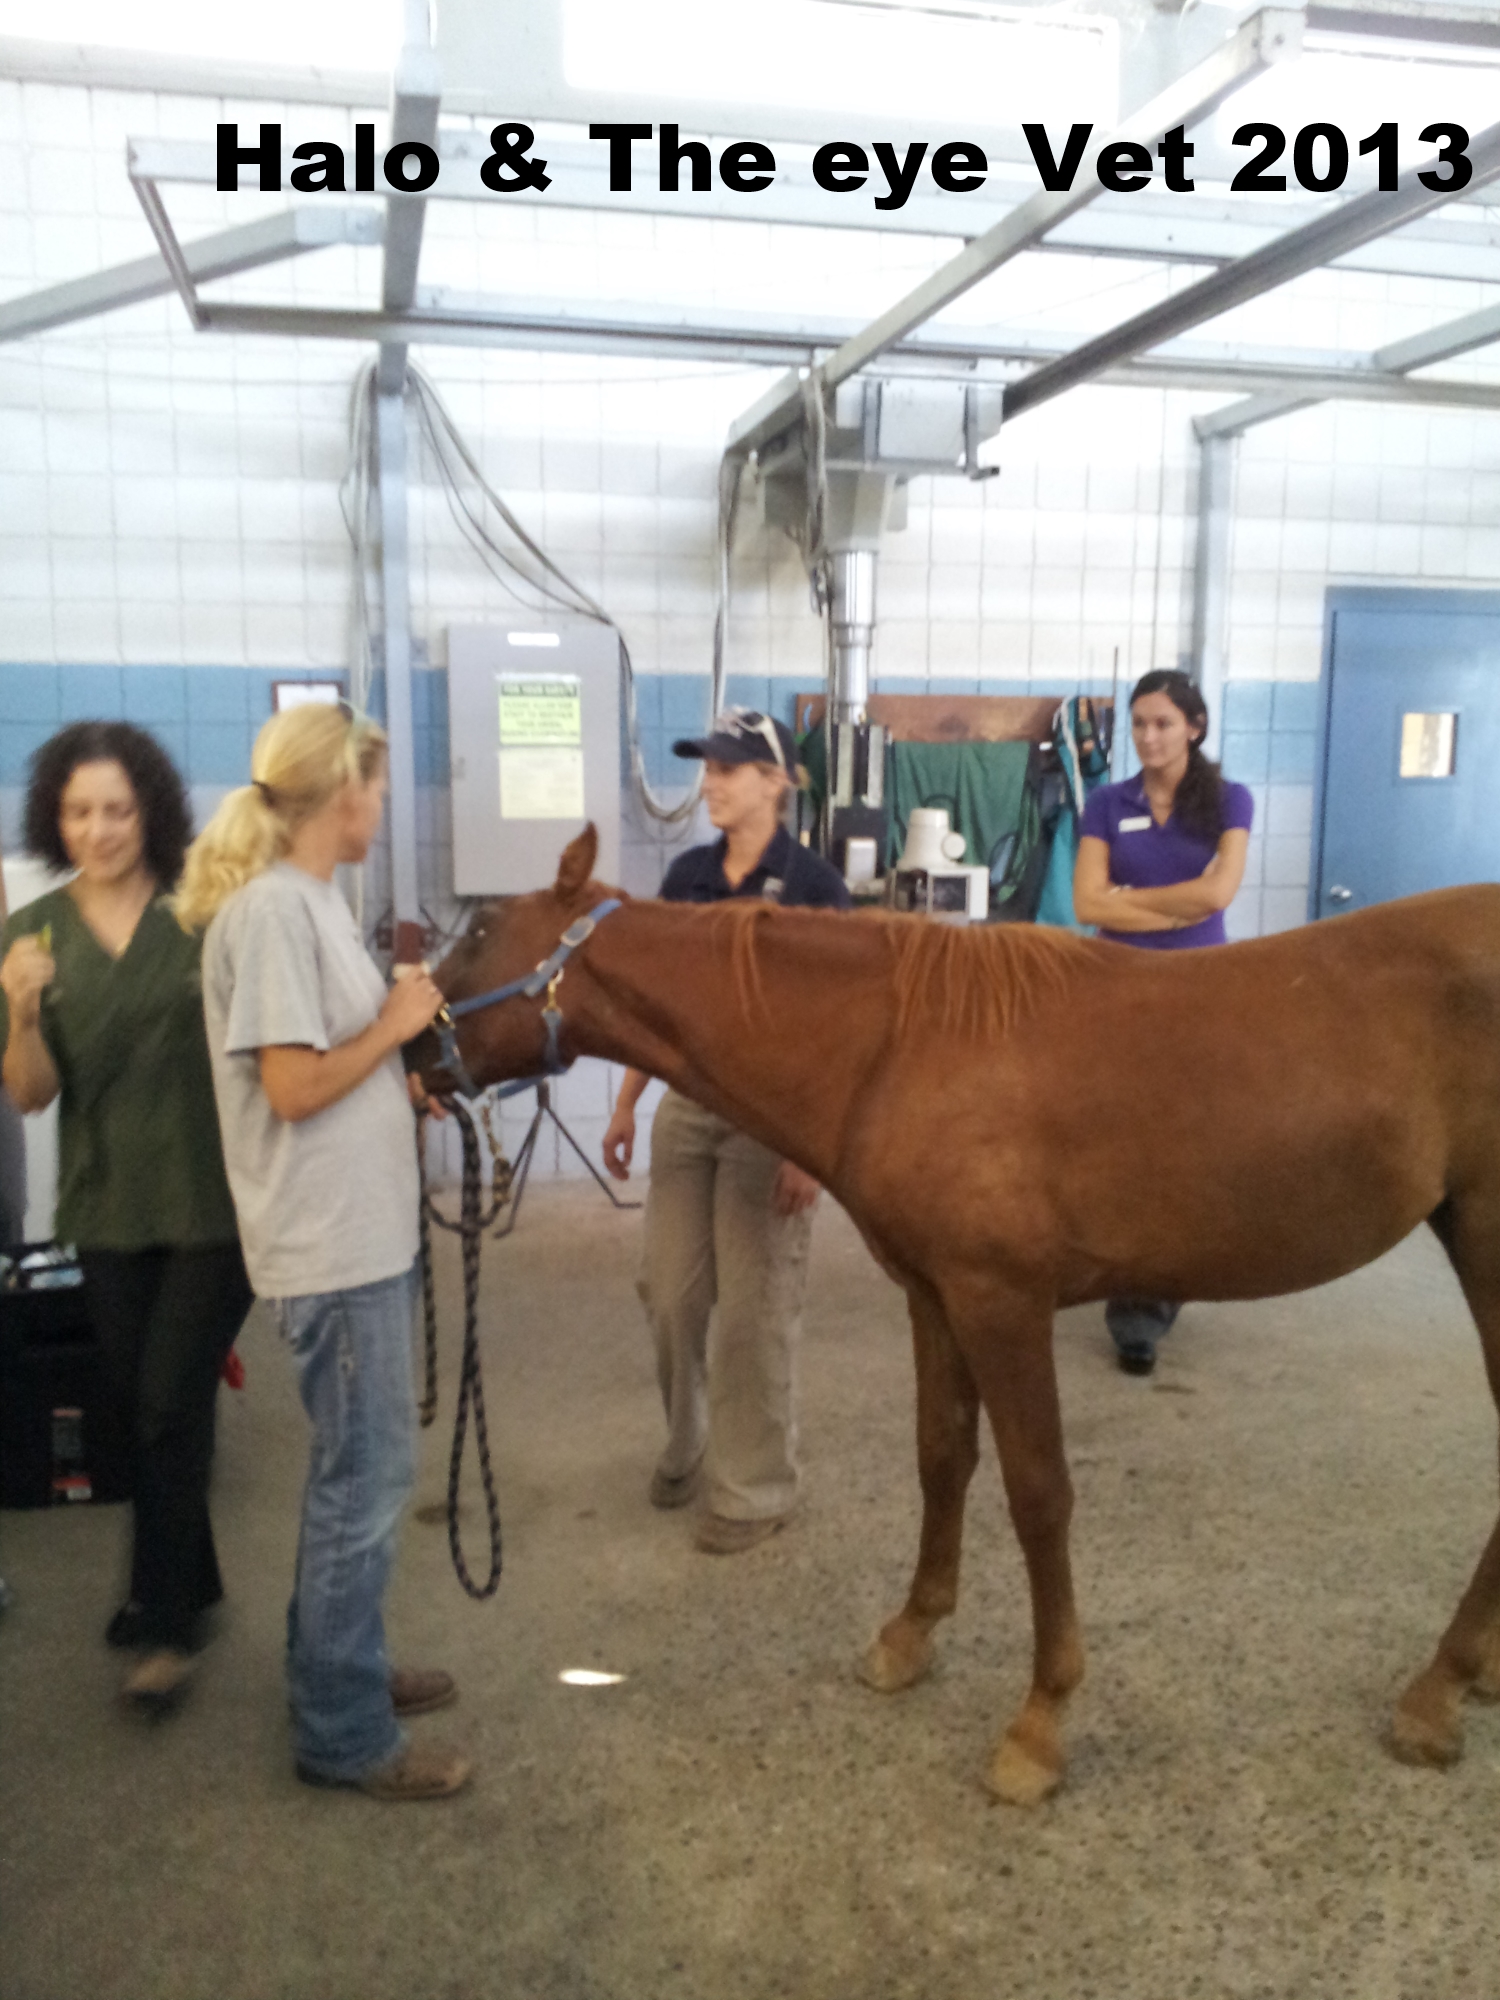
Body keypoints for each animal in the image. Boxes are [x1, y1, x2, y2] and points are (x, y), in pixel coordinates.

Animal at [416, 824, 1500, 1806]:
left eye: (481, 932)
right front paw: (909, 1635)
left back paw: (1434, 1692)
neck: (896, 1044)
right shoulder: (936, 1296)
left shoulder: (1002, 1302)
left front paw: (1039, 1723)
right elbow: (942, 1457)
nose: (411, 1052)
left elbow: (1038, 1493)